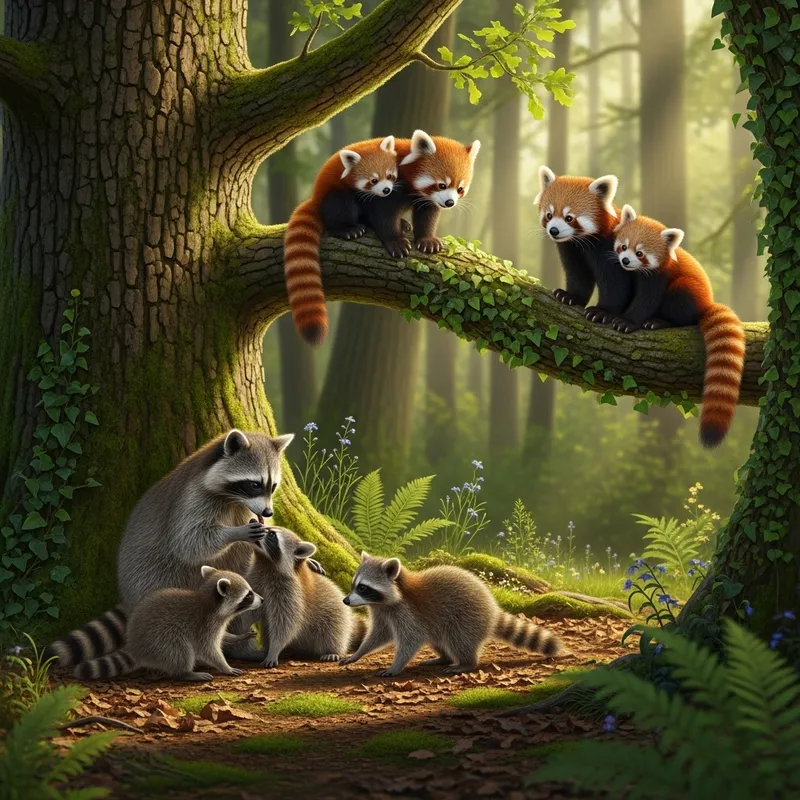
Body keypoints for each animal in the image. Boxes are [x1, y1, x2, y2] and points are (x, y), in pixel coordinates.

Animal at [45, 429, 320, 667]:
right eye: (254, 484)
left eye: (272, 486)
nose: (268, 511)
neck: (234, 499)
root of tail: (129, 596)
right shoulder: (194, 499)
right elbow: (190, 542)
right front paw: (235, 532)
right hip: (160, 580)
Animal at [75, 566, 263, 681]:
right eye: (248, 595)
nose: (262, 600)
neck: (210, 604)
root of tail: (135, 646)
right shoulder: (203, 626)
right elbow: (208, 650)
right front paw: (225, 666)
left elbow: (223, 637)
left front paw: (238, 637)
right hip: (160, 640)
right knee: (180, 651)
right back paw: (185, 673)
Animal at [249, 527, 365, 668]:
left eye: (272, 534)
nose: (252, 524)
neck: (265, 563)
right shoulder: (256, 580)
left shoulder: (291, 592)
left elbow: (286, 624)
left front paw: (274, 649)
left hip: (336, 614)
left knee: (334, 632)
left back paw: (332, 650)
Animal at [341, 553, 561, 676]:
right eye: (353, 585)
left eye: (362, 587)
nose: (345, 601)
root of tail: (492, 608)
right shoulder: (384, 612)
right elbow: (379, 635)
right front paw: (358, 653)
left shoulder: (408, 612)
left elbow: (411, 640)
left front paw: (396, 666)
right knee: (438, 639)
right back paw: (443, 658)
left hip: (467, 618)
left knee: (459, 640)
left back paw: (466, 663)